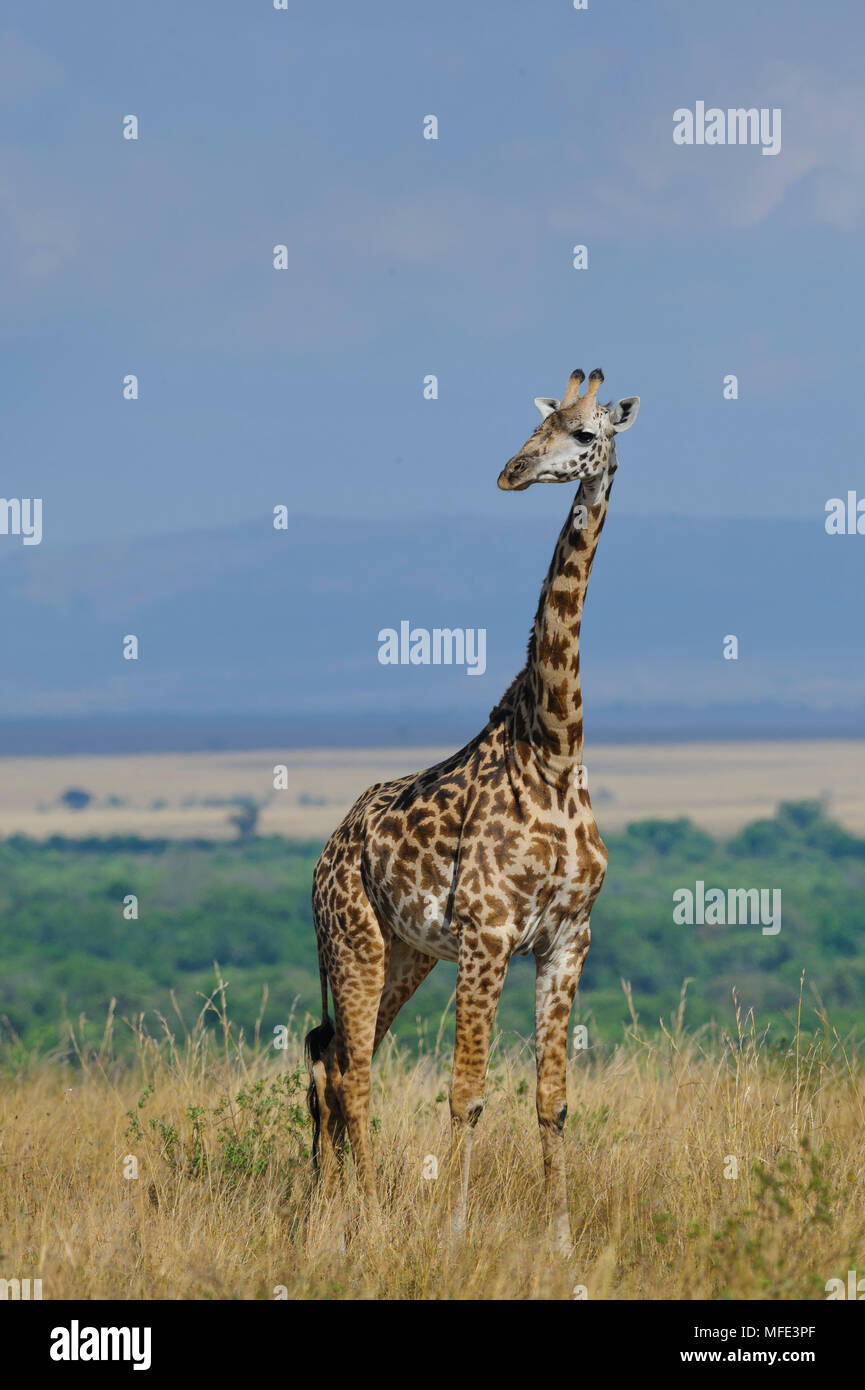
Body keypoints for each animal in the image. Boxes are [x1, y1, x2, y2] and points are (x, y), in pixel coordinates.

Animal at [308, 364, 639, 1245]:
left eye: (585, 432)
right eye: (536, 426)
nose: (511, 472)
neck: (554, 748)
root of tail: (324, 853)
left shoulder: (567, 939)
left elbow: (551, 1103)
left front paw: (559, 1239)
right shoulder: (488, 936)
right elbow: (467, 1096)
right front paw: (454, 1234)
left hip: (406, 951)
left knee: (331, 1054)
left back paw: (325, 1216)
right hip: (354, 940)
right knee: (350, 1071)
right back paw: (360, 1221)